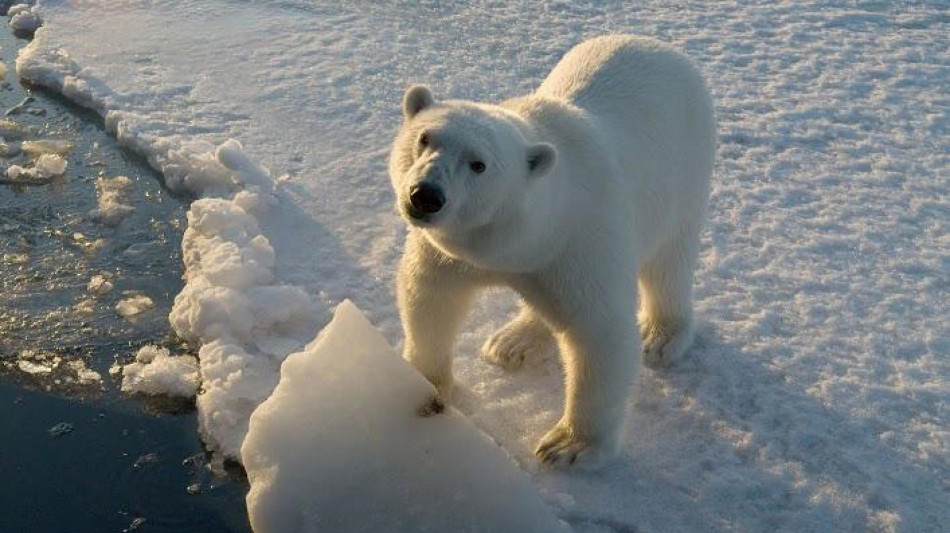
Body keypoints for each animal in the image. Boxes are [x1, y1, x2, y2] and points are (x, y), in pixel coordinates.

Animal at [388, 36, 712, 470]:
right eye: (425, 138)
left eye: (478, 164)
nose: (425, 195)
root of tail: (660, 47)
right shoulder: (453, 253)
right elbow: (429, 297)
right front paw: (423, 383)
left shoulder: (581, 243)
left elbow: (601, 334)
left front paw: (569, 446)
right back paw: (513, 342)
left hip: (685, 170)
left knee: (668, 261)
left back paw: (662, 335)